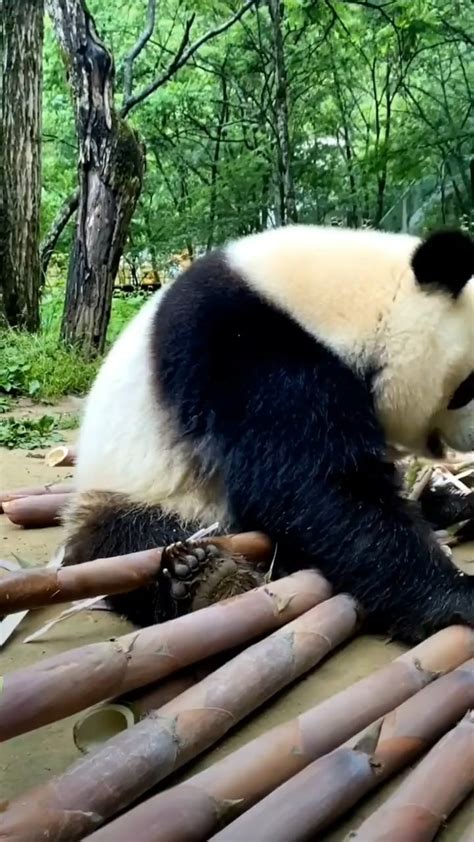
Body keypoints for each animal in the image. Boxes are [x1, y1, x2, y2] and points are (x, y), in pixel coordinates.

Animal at [62, 225, 474, 644]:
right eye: (466, 388)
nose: (472, 438)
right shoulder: (248, 350)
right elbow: (314, 489)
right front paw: (455, 596)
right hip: (133, 491)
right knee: (125, 541)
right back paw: (204, 577)